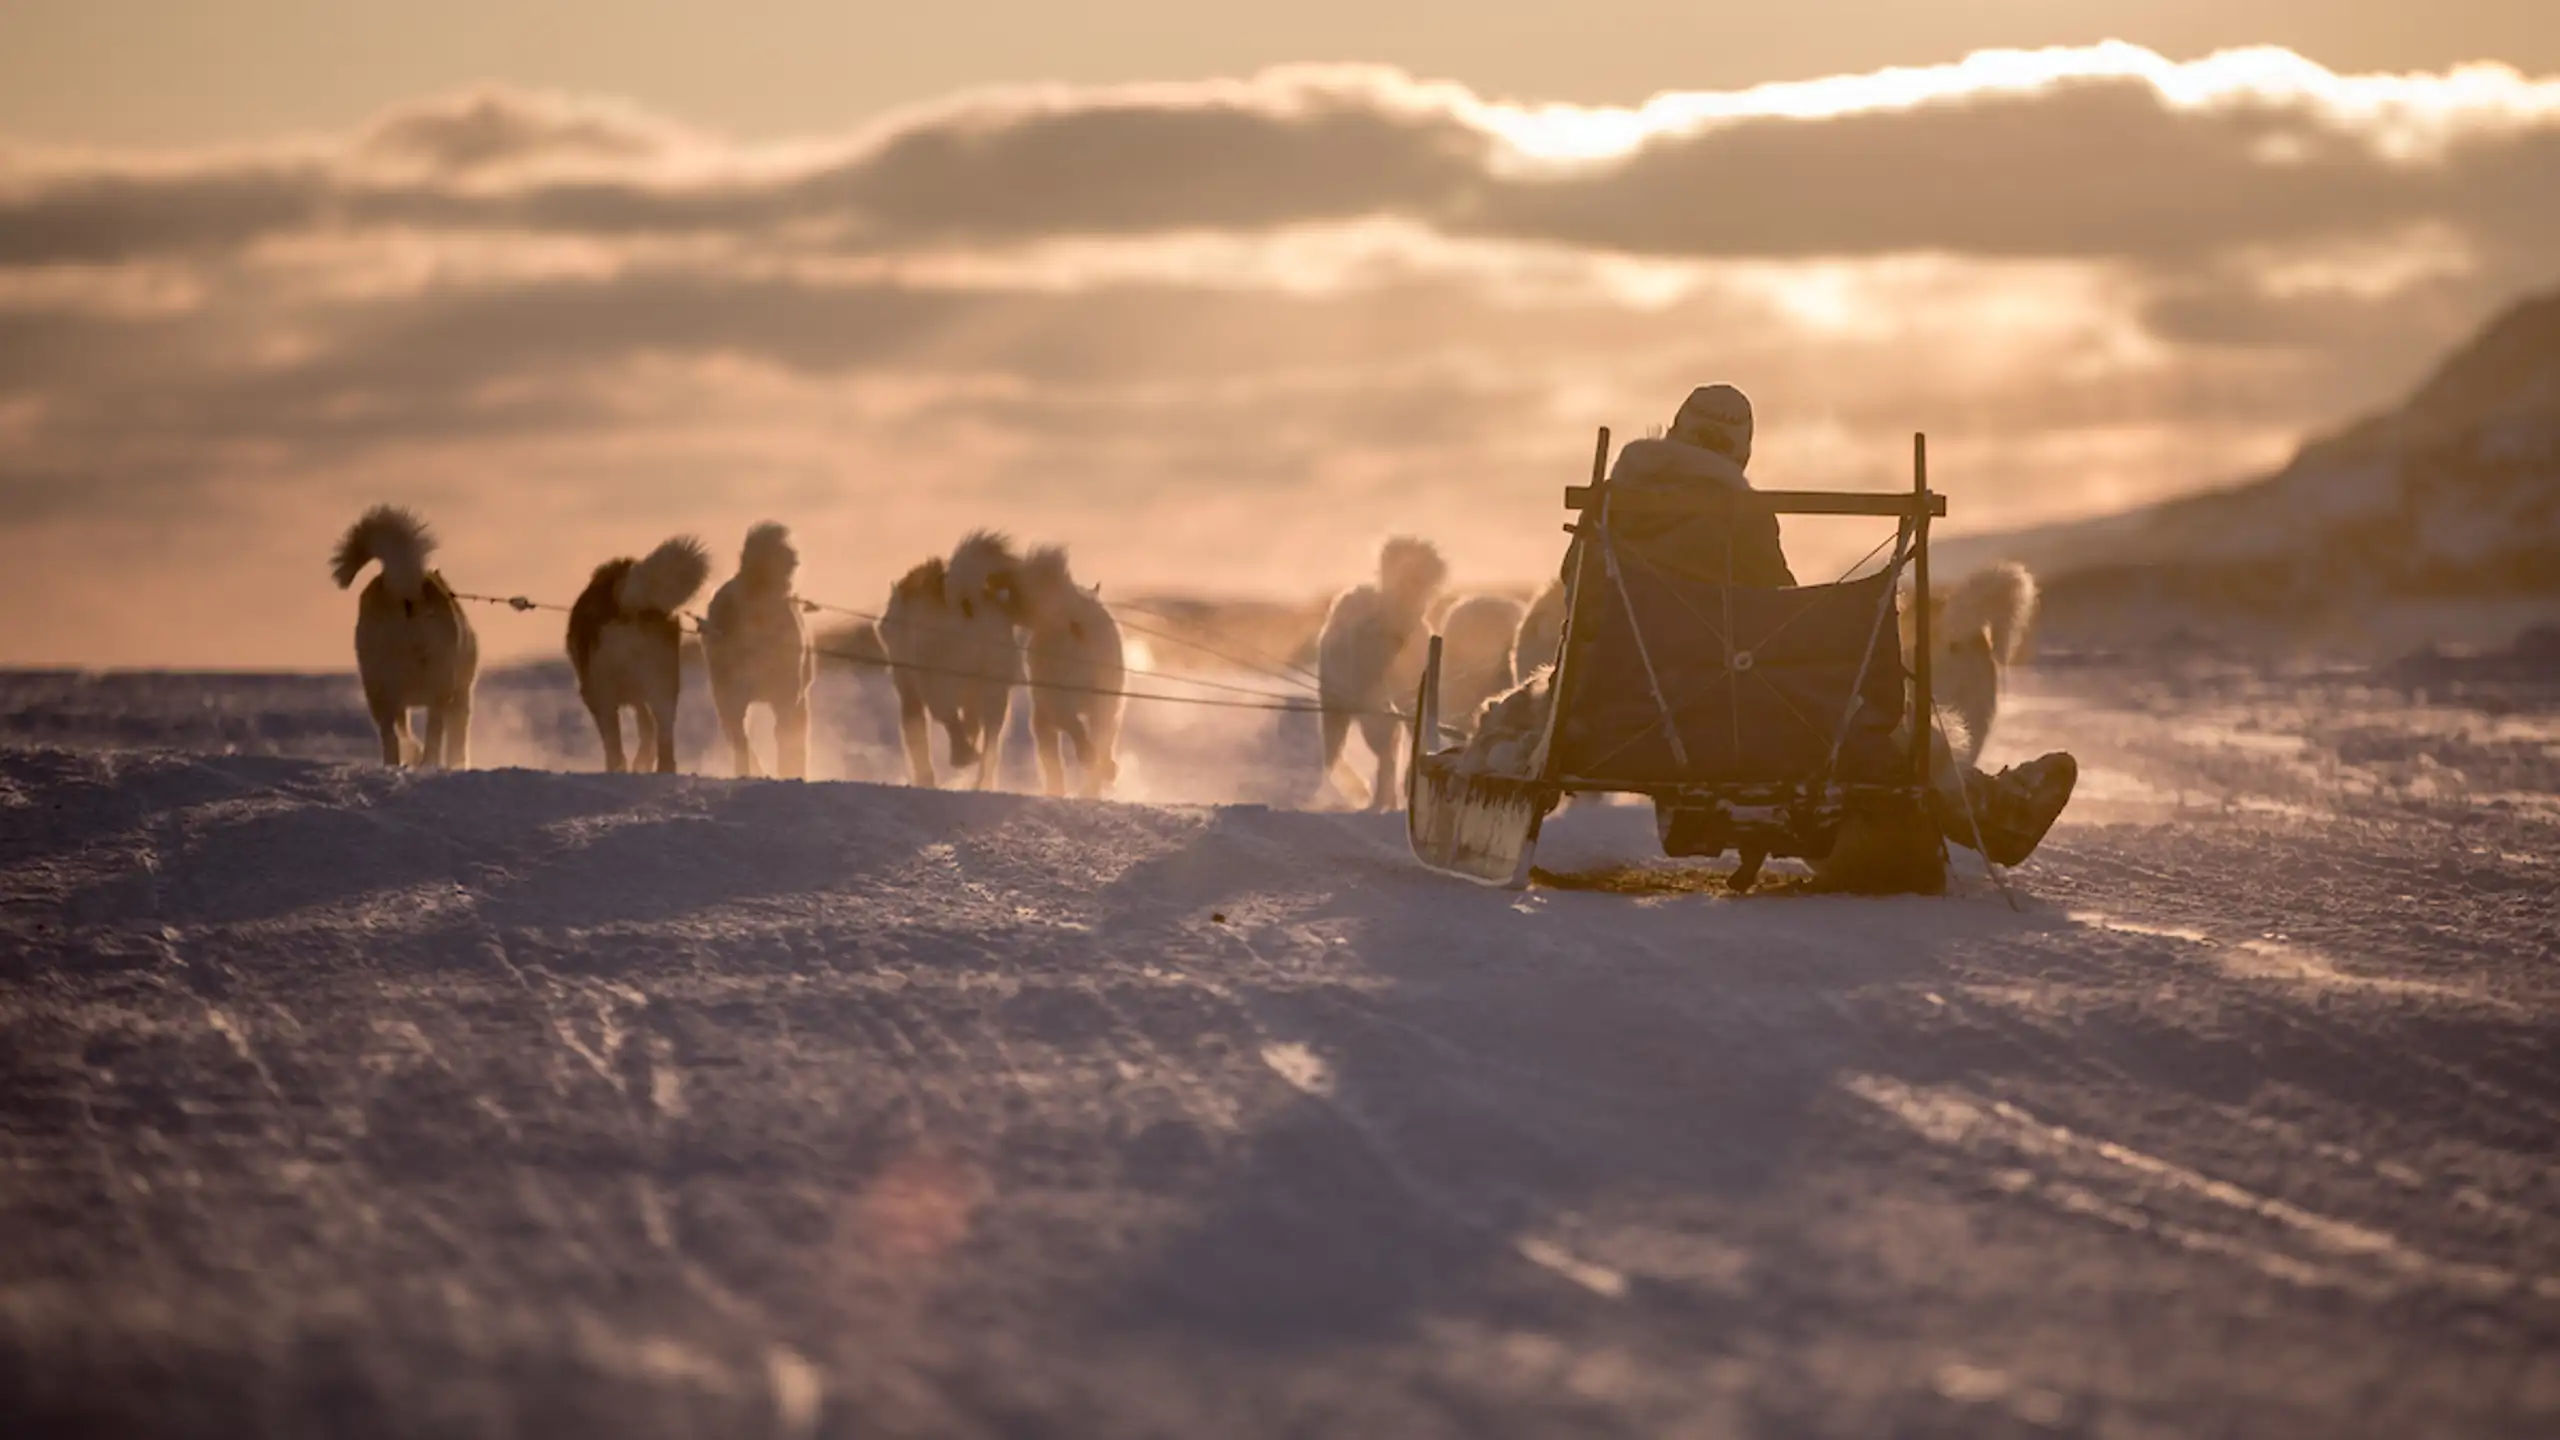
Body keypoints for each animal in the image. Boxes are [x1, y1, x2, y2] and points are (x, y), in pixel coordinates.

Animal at [332, 507, 478, 768]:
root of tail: (402, 587)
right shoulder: (461, 694)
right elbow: (456, 740)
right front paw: (455, 763)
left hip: (378, 688)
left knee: (391, 735)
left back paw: (395, 763)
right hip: (438, 687)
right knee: (433, 733)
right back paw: (428, 763)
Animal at [568, 532, 711, 773]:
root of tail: (626, 605)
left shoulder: (598, 696)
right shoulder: (640, 698)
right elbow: (647, 731)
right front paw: (643, 761)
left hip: (605, 692)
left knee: (615, 746)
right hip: (663, 687)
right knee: (664, 739)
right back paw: (662, 770)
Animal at [880, 532, 1018, 789]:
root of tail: (963, 600)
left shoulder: (911, 694)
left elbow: (917, 744)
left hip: (936, 684)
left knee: (950, 719)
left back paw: (962, 757)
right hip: (994, 690)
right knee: (990, 746)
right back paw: (980, 780)